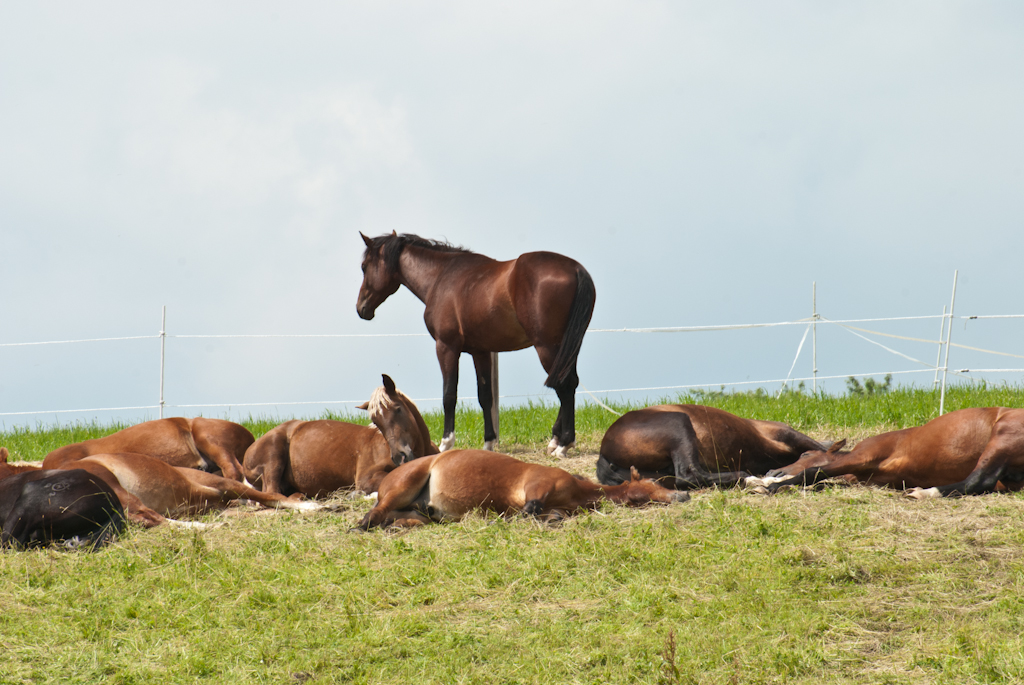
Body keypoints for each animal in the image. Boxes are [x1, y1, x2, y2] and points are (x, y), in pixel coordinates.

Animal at [241, 374, 438, 497]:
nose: (399, 457)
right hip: (273, 454)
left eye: (398, 409)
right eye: (376, 422)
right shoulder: (366, 478)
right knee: (272, 493)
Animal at [356, 232, 598, 456]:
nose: (361, 308)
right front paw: (488, 442)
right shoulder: (480, 351)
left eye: (364, 267)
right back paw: (556, 440)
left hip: (547, 347)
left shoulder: (446, 348)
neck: (441, 277)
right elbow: (485, 396)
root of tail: (576, 269)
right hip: (568, 348)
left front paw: (446, 443)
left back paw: (564, 444)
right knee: (569, 383)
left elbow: (449, 395)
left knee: (564, 386)